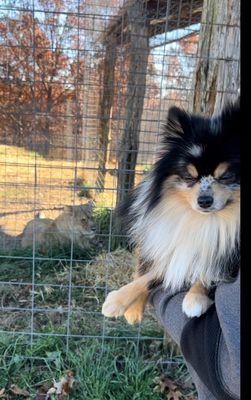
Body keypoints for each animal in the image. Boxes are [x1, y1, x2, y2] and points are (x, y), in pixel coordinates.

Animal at [102, 101, 241, 324]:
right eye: (189, 176)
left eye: (226, 176)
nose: (204, 201)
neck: (205, 221)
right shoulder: (172, 242)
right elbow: (156, 271)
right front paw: (119, 300)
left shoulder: (229, 255)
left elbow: (208, 270)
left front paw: (195, 298)